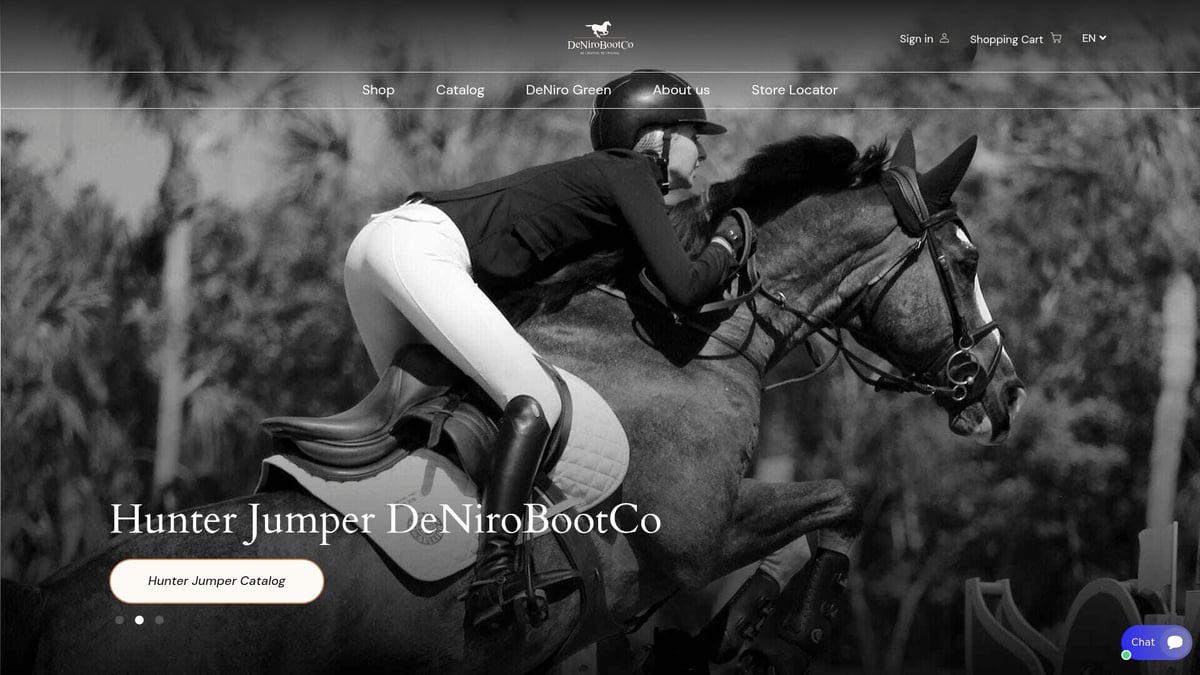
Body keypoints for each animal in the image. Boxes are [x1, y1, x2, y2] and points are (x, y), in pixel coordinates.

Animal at [2, 131, 1025, 674]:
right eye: (966, 258)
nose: (1005, 392)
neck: (683, 343)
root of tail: (48, 601)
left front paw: (742, 631)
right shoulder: (697, 533)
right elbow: (844, 502)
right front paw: (779, 629)